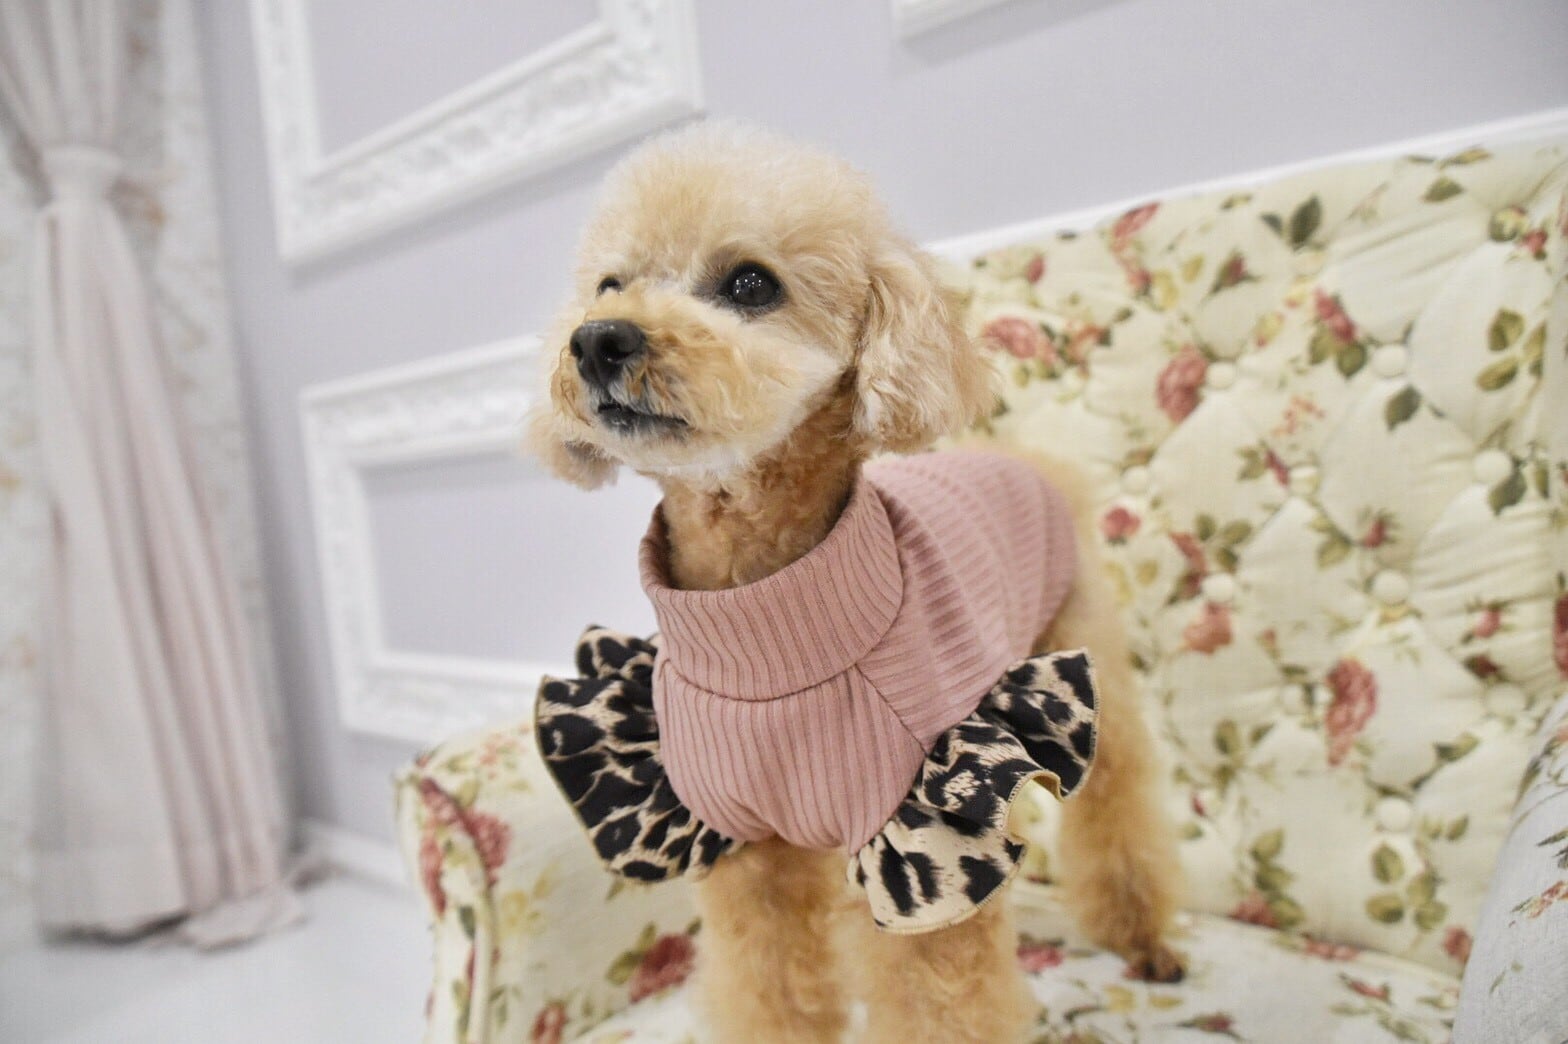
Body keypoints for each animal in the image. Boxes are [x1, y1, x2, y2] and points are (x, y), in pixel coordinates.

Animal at [529, 121, 1184, 1043]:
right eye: (609, 285)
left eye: (750, 283)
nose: (598, 340)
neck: (760, 615)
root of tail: (1028, 461)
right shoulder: (744, 845)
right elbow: (772, 989)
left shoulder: (927, 843)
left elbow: (938, 1003)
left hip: (1084, 664)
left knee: (1119, 806)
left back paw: (1146, 940)